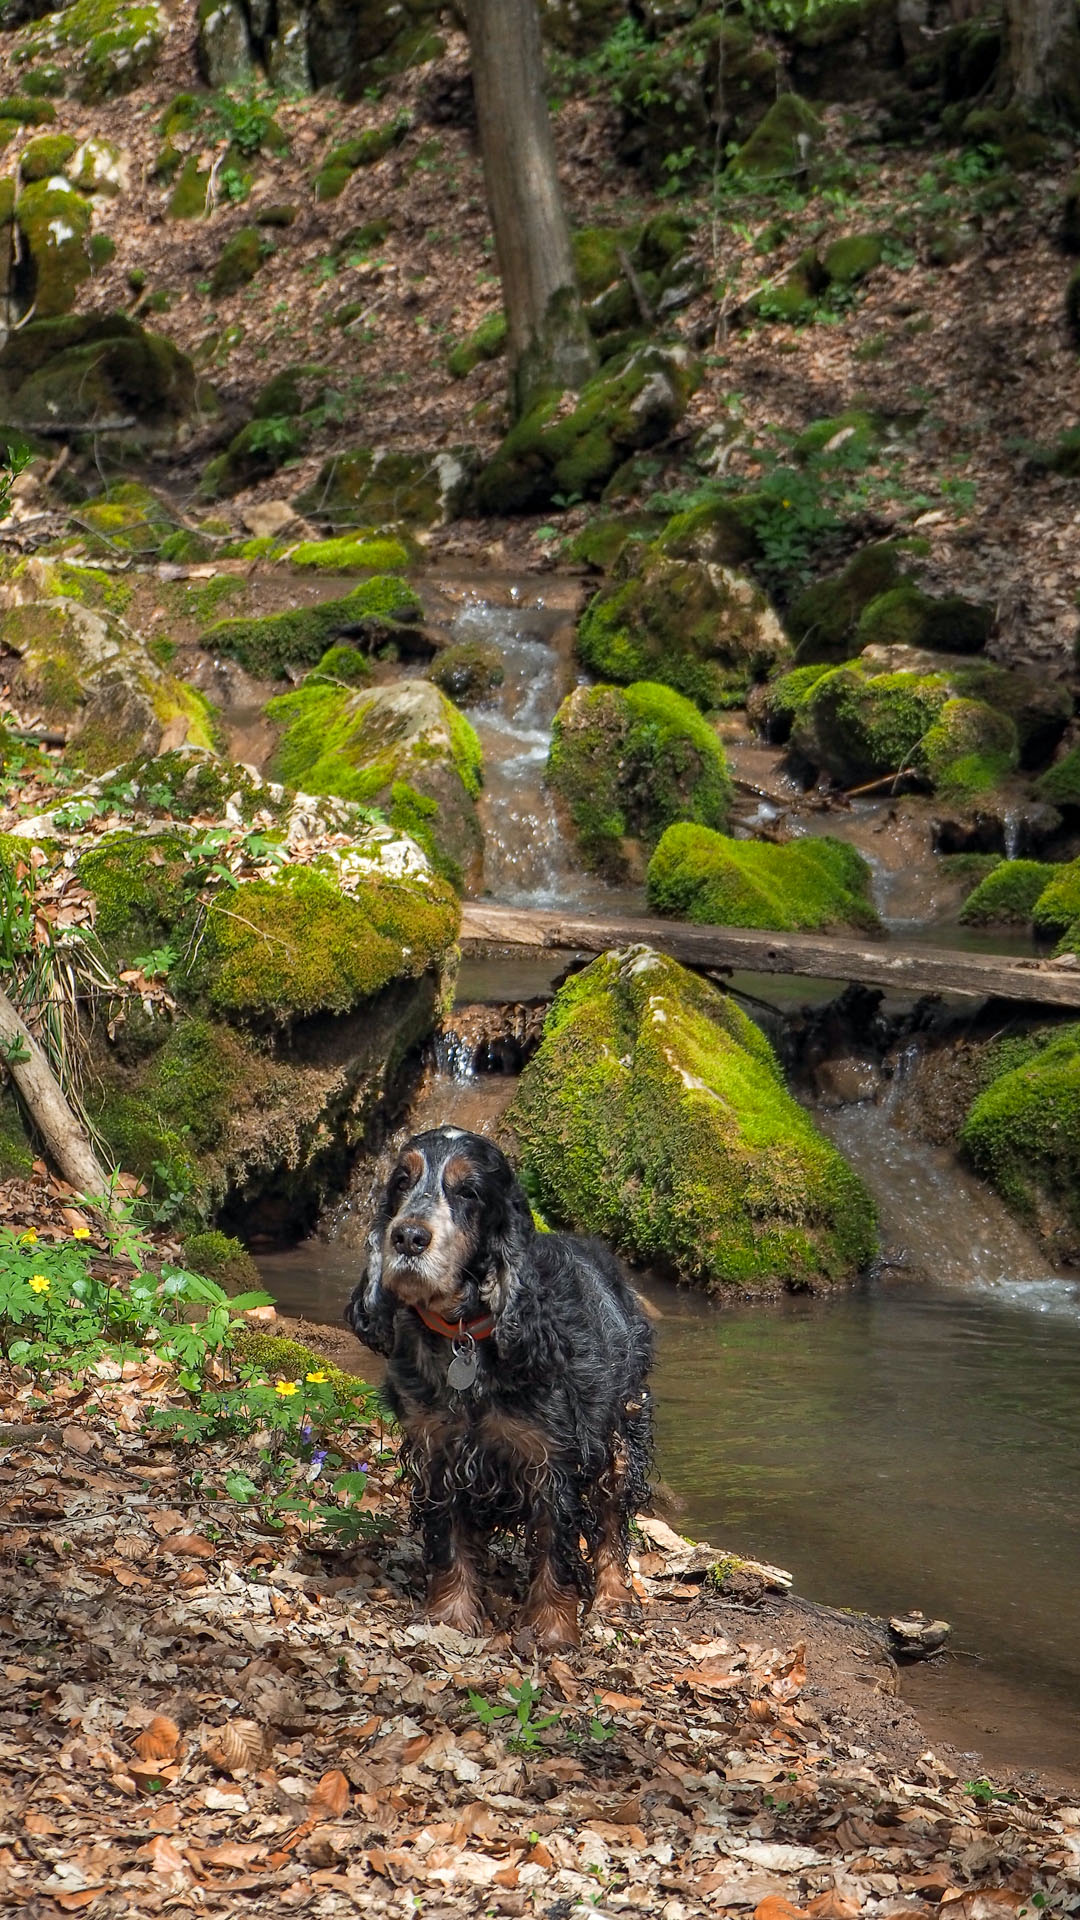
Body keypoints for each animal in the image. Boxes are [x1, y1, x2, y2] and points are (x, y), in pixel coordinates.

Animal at [343, 1121, 645, 1651]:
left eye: (469, 1192)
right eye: (401, 1182)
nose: (407, 1237)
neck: (464, 1335)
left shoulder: (554, 1461)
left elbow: (557, 1548)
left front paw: (552, 1630)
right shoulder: (439, 1454)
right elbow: (448, 1541)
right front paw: (451, 1616)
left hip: (619, 1436)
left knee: (611, 1520)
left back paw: (612, 1597)